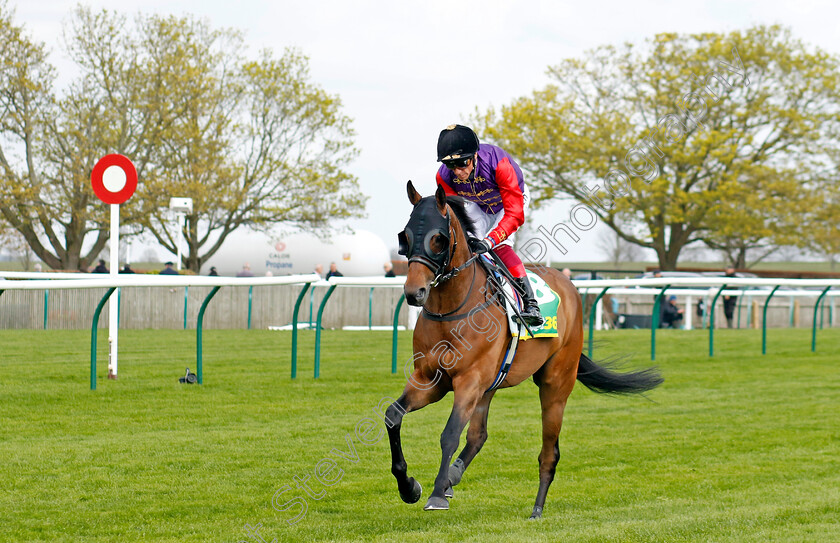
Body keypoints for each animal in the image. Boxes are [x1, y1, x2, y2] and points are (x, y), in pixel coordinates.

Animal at [384, 182, 668, 520]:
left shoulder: (469, 380)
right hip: (490, 386)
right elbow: (392, 416)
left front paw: (437, 493)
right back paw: (455, 475)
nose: (414, 293)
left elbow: (450, 433)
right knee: (478, 435)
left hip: (555, 385)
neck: (451, 309)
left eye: (437, 239)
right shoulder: (430, 380)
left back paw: (536, 508)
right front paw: (409, 486)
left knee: (549, 452)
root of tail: (569, 285)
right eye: (405, 236)